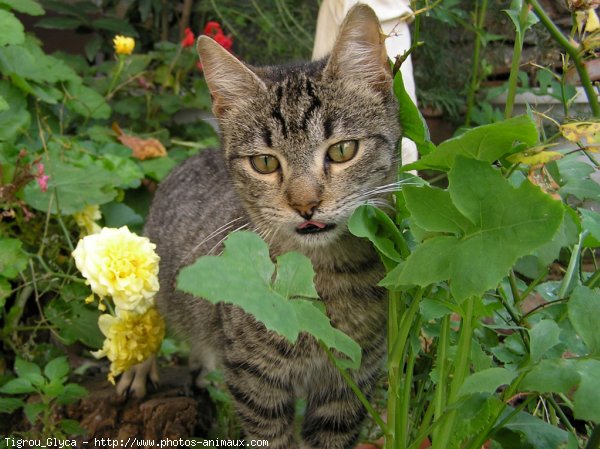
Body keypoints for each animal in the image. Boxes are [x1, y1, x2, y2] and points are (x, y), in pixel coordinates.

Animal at [138, 4, 398, 448]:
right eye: (264, 162)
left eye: (343, 150)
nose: (305, 204)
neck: (319, 281)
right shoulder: (256, 381)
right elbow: (271, 437)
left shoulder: (352, 381)